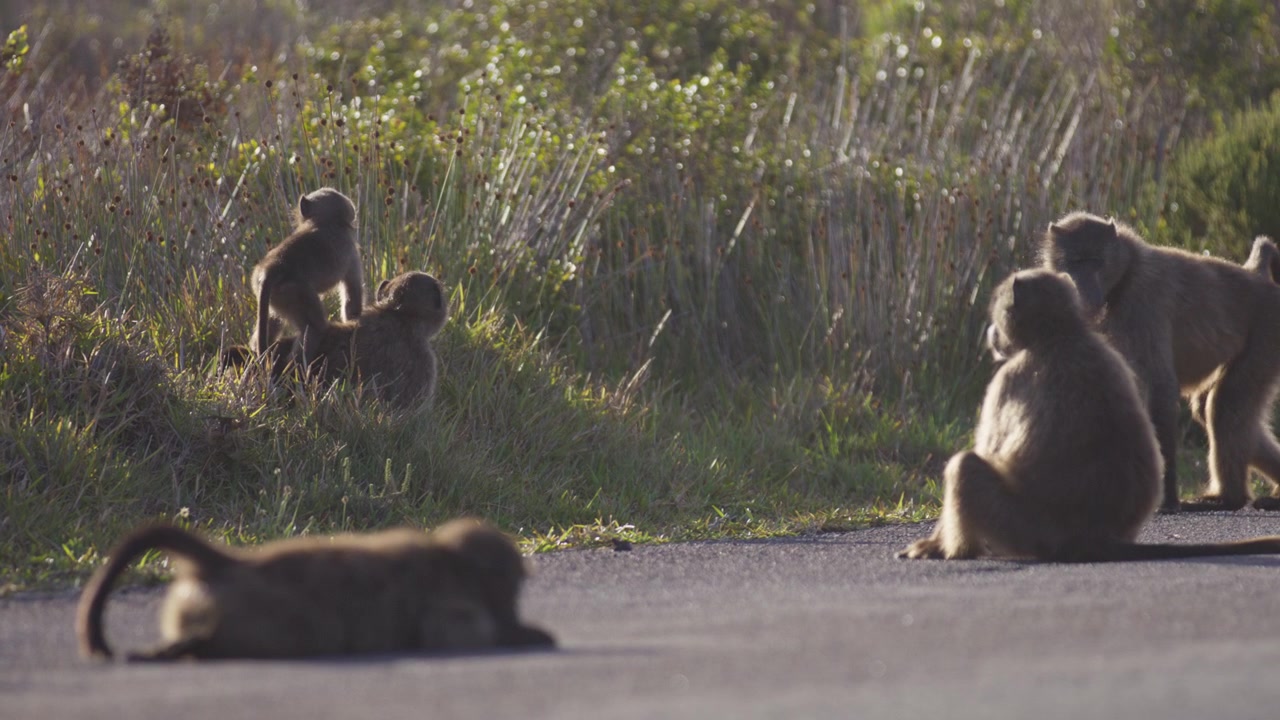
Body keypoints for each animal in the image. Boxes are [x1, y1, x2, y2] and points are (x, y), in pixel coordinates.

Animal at [77, 518, 554, 661]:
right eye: (512, 587)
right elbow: (451, 636)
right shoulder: (450, 603)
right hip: (266, 612)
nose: (514, 611)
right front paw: (530, 635)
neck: (451, 561)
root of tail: (233, 563)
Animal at [251, 187, 363, 366]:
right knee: (315, 327)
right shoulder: (352, 253)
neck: (324, 221)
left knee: (272, 320)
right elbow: (352, 299)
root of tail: (272, 268)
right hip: (295, 292)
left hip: (276, 293)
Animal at [899, 269, 1280, 561]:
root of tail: (1094, 539)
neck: (1061, 333)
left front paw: (934, 546)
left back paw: (958, 551)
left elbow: (990, 451)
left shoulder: (1007, 379)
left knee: (966, 468)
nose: (992, 334)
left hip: (1024, 530)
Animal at [1041, 212, 1280, 512]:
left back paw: (1228, 498)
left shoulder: (1143, 305)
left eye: (1096, 261)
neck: (1126, 272)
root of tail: (1259, 278)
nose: (1085, 294)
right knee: (1214, 410)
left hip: (1266, 335)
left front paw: (1166, 499)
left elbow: (1161, 389)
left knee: (1226, 406)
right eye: (1074, 262)